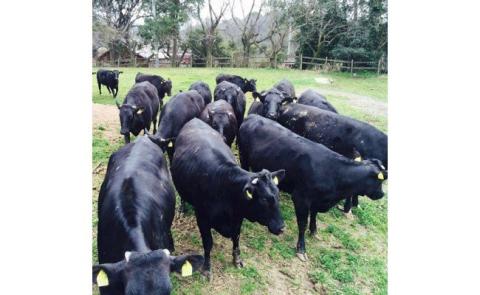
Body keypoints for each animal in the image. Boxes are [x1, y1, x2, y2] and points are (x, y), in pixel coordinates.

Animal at [172, 118, 286, 280]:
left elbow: (236, 238)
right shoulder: (202, 218)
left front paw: (237, 260)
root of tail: (195, 120)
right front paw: (206, 269)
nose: (282, 227)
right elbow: (208, 243)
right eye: (264, 199)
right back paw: (181, 209)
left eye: (277, 194)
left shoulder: (238, 218)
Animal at [238, 115, 388, 262]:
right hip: (243, 158)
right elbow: (302, 223)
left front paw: (314, 230)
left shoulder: (317, 200)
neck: (333, 172)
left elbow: (314, 214)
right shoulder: (301, 198)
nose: (381, 194)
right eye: (379, 180)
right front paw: (301, 249)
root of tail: (252, 116)